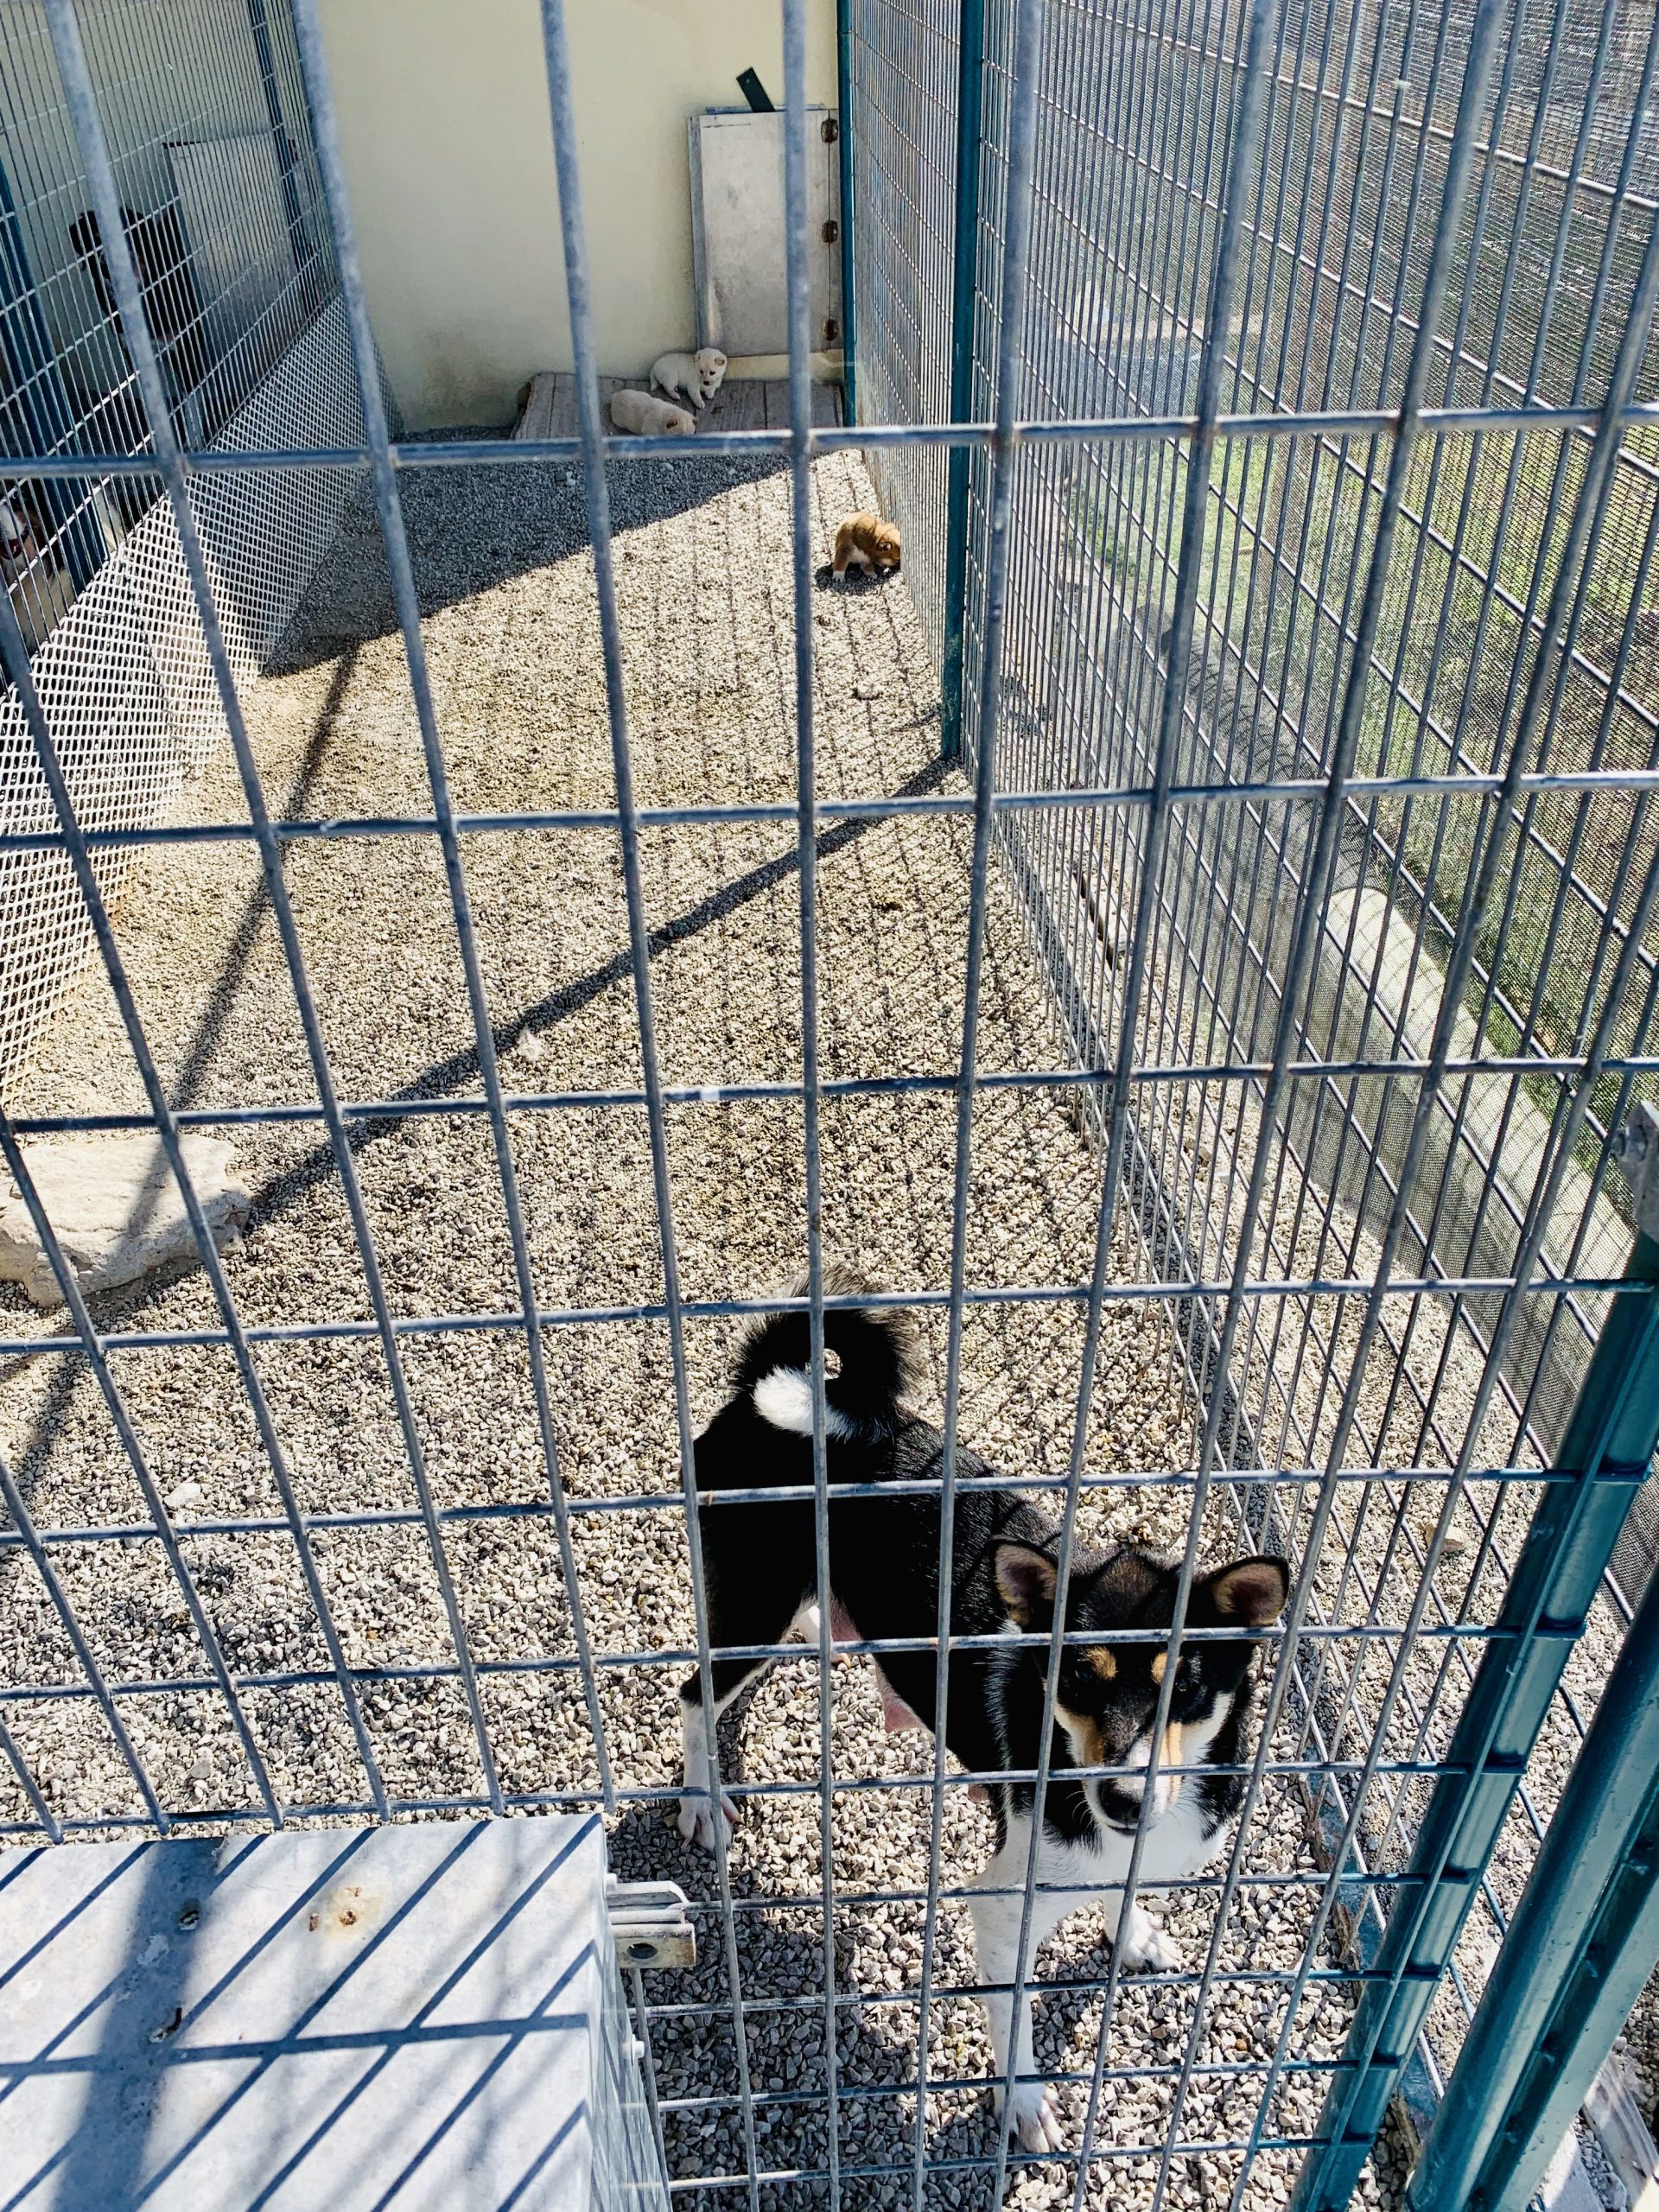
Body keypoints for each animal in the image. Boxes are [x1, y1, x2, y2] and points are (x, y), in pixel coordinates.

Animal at [681, 1274, 1292, 2150]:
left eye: (1185, 1687)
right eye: (1075, 1679)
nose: (1123, 1799)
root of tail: (781, 1396)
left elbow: (1124, 1891)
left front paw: (1132, 1930)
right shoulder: (1004, 1909)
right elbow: (1015, 2015)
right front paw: (1024, 2100)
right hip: (753, 1608)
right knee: (694, 1700)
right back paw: (702, 1799)